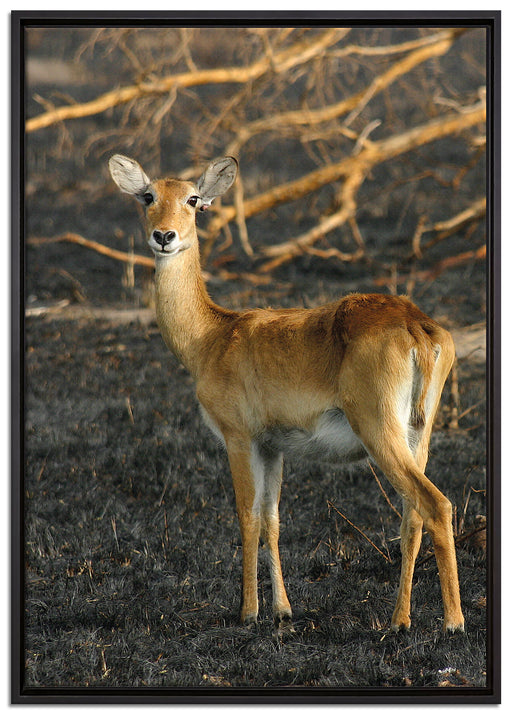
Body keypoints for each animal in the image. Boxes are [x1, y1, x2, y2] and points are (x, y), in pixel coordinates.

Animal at [109, 153, 464, 634]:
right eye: (148, 196)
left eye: (193, 198)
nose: (164, 236)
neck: (211, 337)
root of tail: (415, 325)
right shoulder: (273, 446)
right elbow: (273, 520)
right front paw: (282, 609)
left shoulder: (239, 438)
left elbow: (247, 515)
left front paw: (248, 611)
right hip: (417, 434)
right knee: (413, 513)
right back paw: (399, 619)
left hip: (379, 429)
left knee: (437, 503)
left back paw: (453, 622)